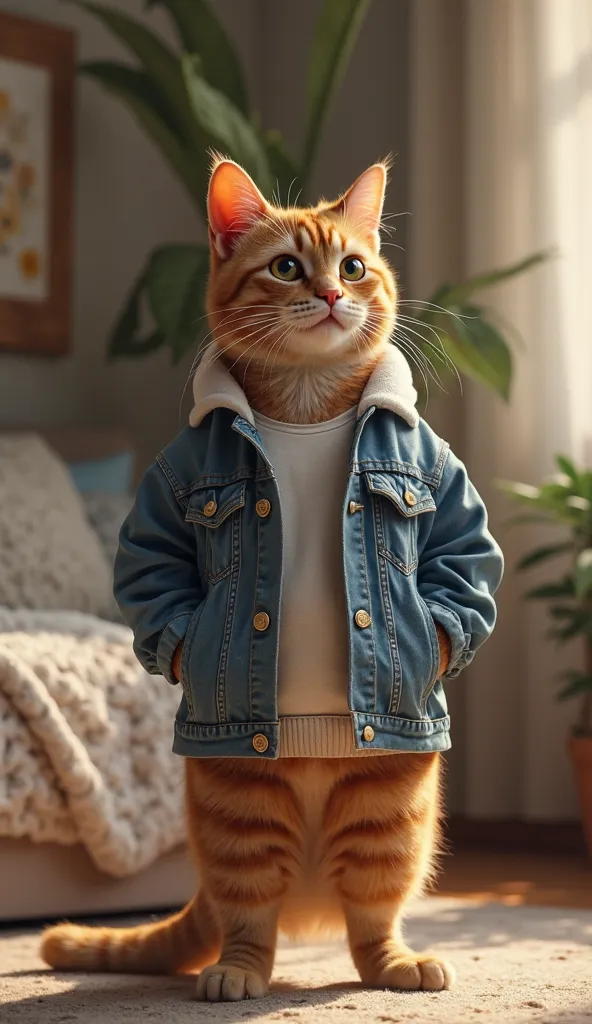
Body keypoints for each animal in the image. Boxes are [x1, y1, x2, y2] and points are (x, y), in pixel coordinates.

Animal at [41, 159, 450, 999]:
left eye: (352, 267)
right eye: (287, 268)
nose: (329, 295)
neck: (305, 405)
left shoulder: (440, 476)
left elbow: (460, 560)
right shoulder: (169, 488)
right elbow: (155, 562)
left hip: (389, 807)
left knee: (371, 915)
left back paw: (392, 964)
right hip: (239, 805)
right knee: (250, 915)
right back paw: (235, 970)